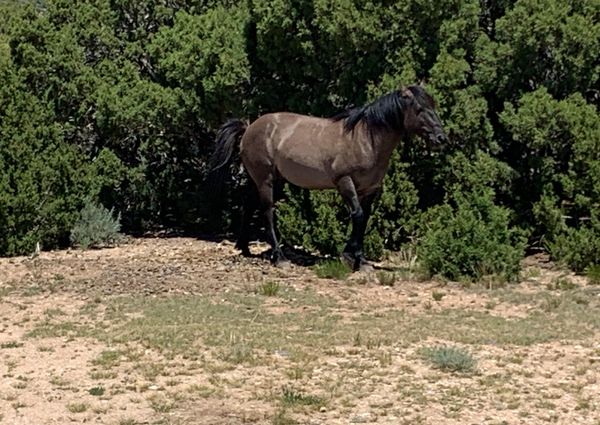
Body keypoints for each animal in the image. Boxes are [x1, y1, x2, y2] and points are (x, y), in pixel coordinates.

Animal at [209, 85, 448, 270]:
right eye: (419, 109)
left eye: (433, 107)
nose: (441, 138)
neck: (364, 139)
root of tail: (249, 127)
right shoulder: (345, 182)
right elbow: (357, 215)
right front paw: (353, 259)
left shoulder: (370, 189)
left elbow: (364, 219)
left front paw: (357, 259)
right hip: (266, 180)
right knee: (267, 211)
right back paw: (279, 258)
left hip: (267, 180)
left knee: (249, 205)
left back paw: (244, 248)